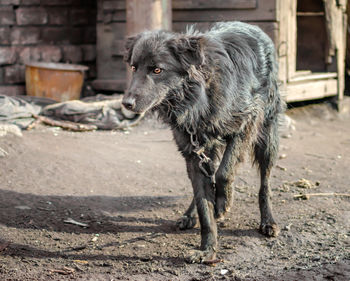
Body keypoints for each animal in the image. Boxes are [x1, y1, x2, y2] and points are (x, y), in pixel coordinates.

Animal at [121, 21, 286, 262]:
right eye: (133, 68)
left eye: (157, 70)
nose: (126, 104)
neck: (197, 99)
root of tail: (251, 25)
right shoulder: (192, 153)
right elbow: (203, 204)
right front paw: (208, 249)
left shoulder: (247, 123)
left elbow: (225, 172)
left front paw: (223, 204)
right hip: (207, 150)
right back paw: (189, 216)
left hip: (267, 137)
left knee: (264, 184)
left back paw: (268, 221)